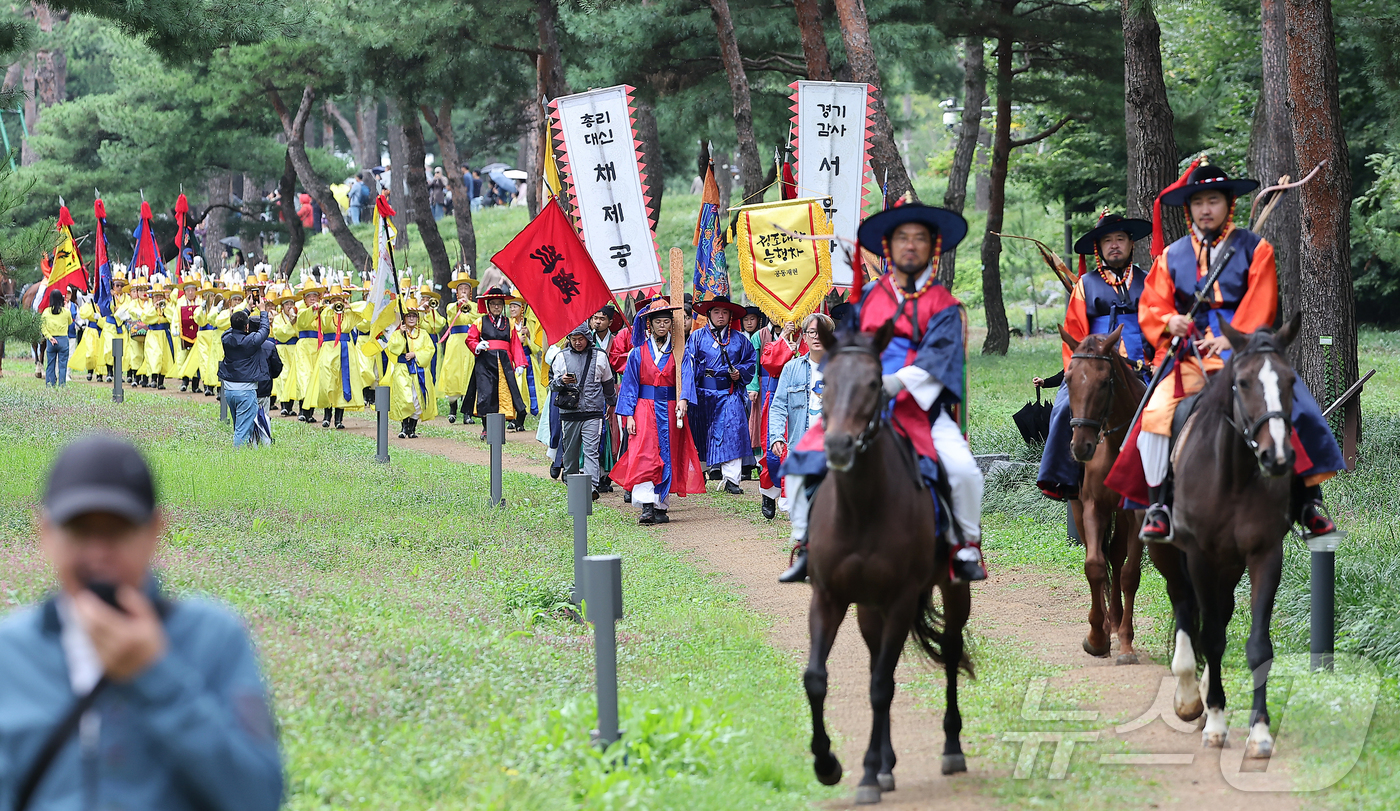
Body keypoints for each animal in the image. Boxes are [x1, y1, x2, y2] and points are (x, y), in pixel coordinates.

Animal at [800, 322, 974, 806]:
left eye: (875, 383)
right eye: (826, 381)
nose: (838, 445)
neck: (861, 507)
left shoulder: (899, 599)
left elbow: (881, 685)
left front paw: (864, 774)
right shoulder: (829, 597)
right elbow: (817, 678)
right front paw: (829, 764)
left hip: (952, 589)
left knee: (948, 650)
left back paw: (950, 747)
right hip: (867, 608)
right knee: (880, 660)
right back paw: (884, 764)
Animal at [1159, 313, 1299, 756]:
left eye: (1290, 380)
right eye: (1243, 382)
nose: (1277, 457)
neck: (1233, 476)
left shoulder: (1264, 554)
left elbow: (1257, 644)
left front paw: (1260, 730)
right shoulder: (1199, 556)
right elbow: (1211, 637)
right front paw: (1216, 721)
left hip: (1230, 564)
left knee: (1219, 609)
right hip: (1171, 556)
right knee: (1185, 605)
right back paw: (1190, 695)